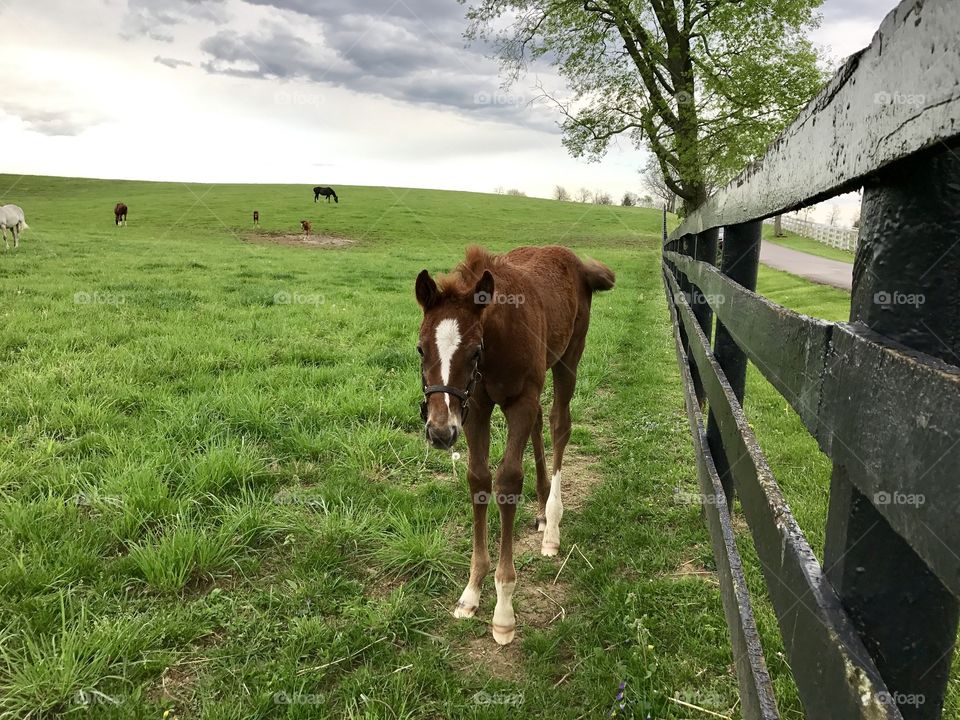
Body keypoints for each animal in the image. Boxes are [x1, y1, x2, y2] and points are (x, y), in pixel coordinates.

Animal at [414, 245, 616, 644]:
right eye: (420, 350)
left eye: (475, 352)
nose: (440, 433)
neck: (499, 338)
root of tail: (575, 259)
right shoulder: (475, 407)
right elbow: (478, 479)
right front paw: (471, 592)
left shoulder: (518, 400)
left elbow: (507, 482)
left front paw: (503, 610)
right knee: (540, 420)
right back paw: (541, 511)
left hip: (569, 358)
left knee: (558, 423)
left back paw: (552, 527)